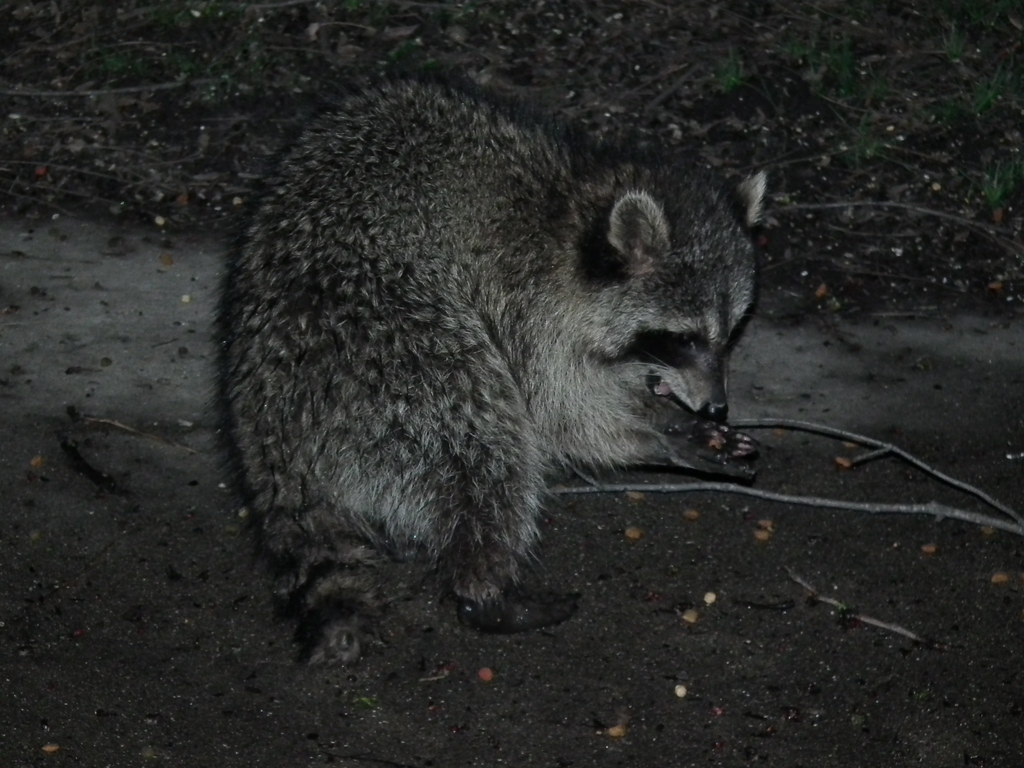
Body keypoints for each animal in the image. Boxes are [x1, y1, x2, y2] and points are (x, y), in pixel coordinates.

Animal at [217, 78, 765, 664]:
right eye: (684, 338)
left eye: (731, 332)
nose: (717, 405)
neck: (570, 206)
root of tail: (266, 418)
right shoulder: (525, 303)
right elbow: (560, 415)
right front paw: (651, 435)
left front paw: (672, 418)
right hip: (383, 347)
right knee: (483, 445)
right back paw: (484, 588)